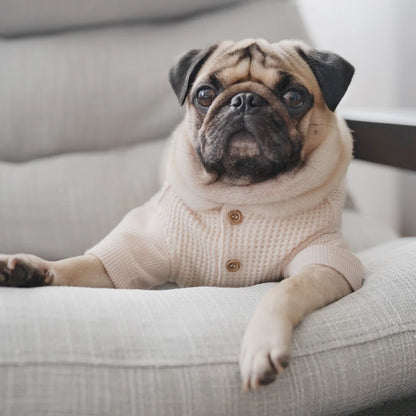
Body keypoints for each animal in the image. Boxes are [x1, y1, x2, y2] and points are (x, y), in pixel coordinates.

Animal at [0, 38, 364, 390]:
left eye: (294, 98)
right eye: (204, 95)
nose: (245, 99)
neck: (241, 189)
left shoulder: (324, 262)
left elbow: (283, 291)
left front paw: (261, 344)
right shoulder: (133, 254)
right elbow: (76, 266)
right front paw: (31, 269)